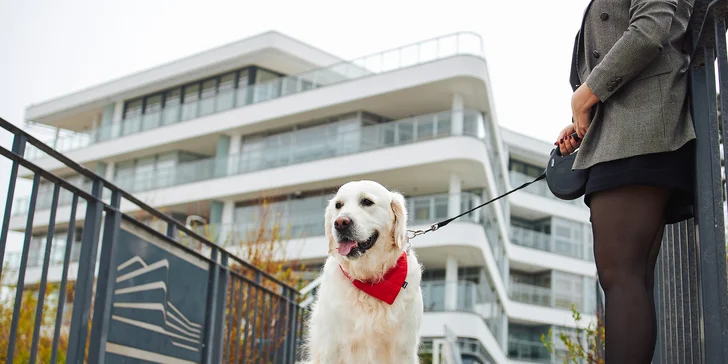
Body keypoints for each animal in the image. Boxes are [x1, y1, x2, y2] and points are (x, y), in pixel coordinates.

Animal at [298, 181, 424, 362]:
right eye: (338, 205)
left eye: (367, 202)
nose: (340, 222)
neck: (368, 279)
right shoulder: (332, 347)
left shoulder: (403, 348)